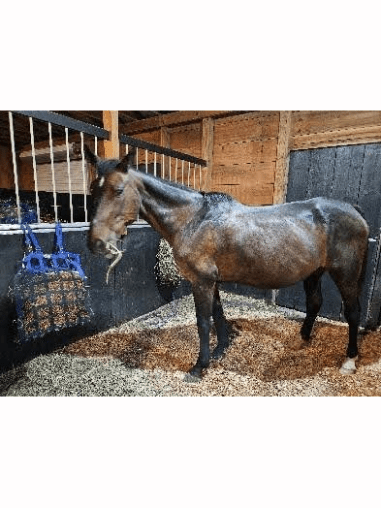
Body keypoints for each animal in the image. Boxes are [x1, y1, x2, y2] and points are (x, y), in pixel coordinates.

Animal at [82, 145, 368, 380]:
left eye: (118, 191)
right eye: (92, 190)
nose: (96, 243)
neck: (193, 220)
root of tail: (354, 211)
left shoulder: (202, 281)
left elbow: (203, 322)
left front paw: (199, 366)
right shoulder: (212, 281)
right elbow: (218, 315)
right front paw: (220, 350)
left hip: (345, 273)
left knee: (353, 312)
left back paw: (349, 360)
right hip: (315, 272)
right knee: (315, 303)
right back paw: (302, 340)